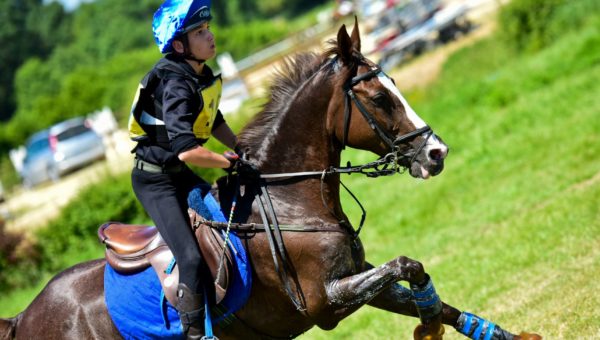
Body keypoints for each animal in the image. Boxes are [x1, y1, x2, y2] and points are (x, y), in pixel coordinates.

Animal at [1, 21, 544, 340]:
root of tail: (24, 316)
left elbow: (423, 285)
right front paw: (429, 325)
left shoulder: (359, 281)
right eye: (380, 97)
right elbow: (405, 266)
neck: (291, 203)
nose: (436, 153)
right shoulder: (326, 300)